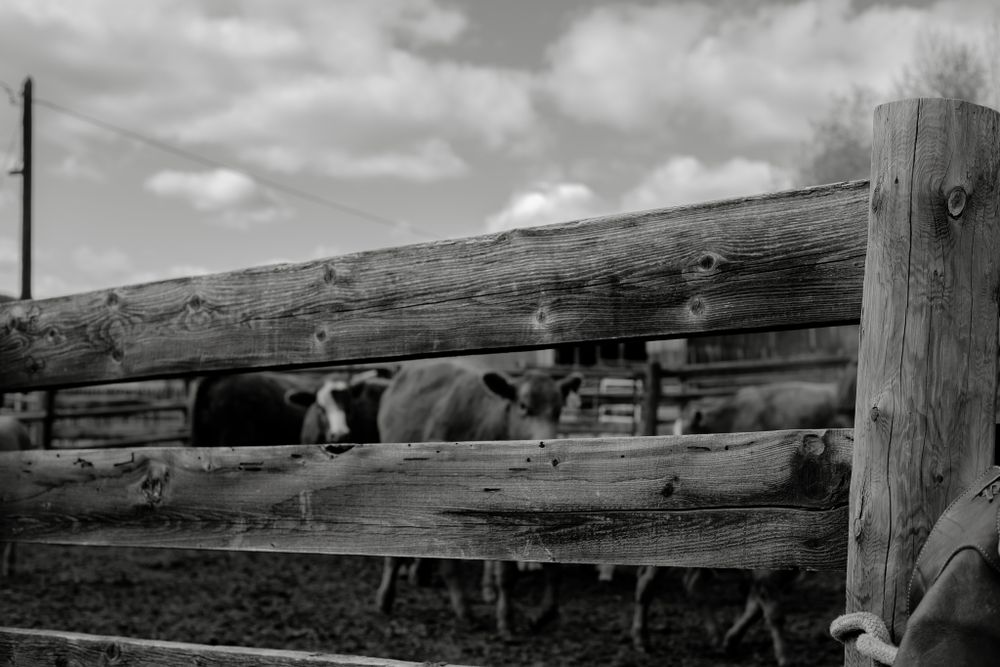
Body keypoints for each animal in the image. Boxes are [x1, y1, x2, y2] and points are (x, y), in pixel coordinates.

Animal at [633, 370, 857, 666]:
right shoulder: (766, 570)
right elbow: (770, 609)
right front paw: (784, 656)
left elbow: (756, 608)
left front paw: (731, 640)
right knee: (648, 582)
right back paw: (642, 639)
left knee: (692, 585)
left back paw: (715, 636)